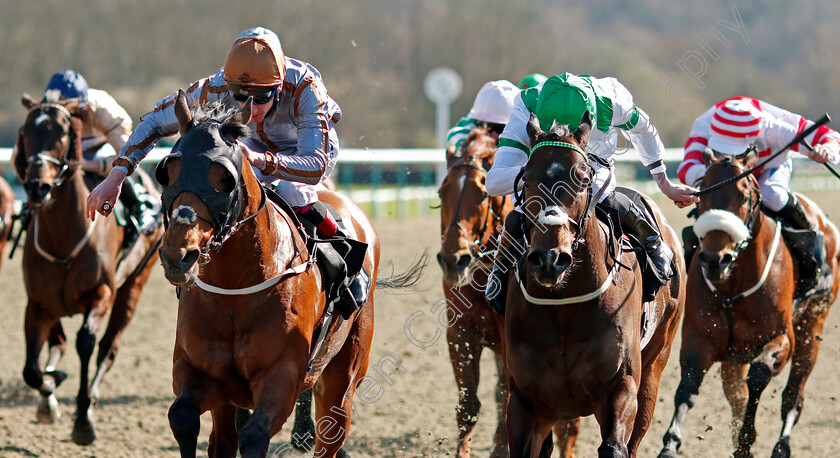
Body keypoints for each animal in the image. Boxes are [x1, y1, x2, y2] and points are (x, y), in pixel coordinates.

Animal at [13, 94, 162, 444]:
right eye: (26, 133)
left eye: (63, 133)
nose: (37, 188)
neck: (62, 240)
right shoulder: (37, 303)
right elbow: (31, 369)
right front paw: (51, 386)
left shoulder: (102, 294)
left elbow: (85, 342)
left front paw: (82, 418)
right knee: (58, 343)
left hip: (134, 285)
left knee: (108, 348)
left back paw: (91, 401)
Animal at [157, 91, 404, 456]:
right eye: (168, 172)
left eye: (224, 179)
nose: (178, 255)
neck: (235, 288)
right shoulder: (202, 373)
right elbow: (184, 418)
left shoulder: (282, 376)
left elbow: (255, 435)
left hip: (343, 378)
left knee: (331, 434)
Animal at [502, 115, 684, 458]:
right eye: (527, 181)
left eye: (584, 180)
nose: (550, 258)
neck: (565, 310)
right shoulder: (525, 403)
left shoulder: (620, 387)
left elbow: (615, 446)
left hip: (656, 363)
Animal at [660, 148, 836, 456]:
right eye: (702, 194)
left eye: (743, 196)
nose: (715, 260)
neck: (734, 285)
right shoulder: (700, 337)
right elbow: (688, 386)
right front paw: (670, 444)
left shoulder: (782, 338)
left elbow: (758, 375)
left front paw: (745, 439)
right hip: (735, 356)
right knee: (736, 393)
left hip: (812, 326)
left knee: (793, 396)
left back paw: (781, 446)